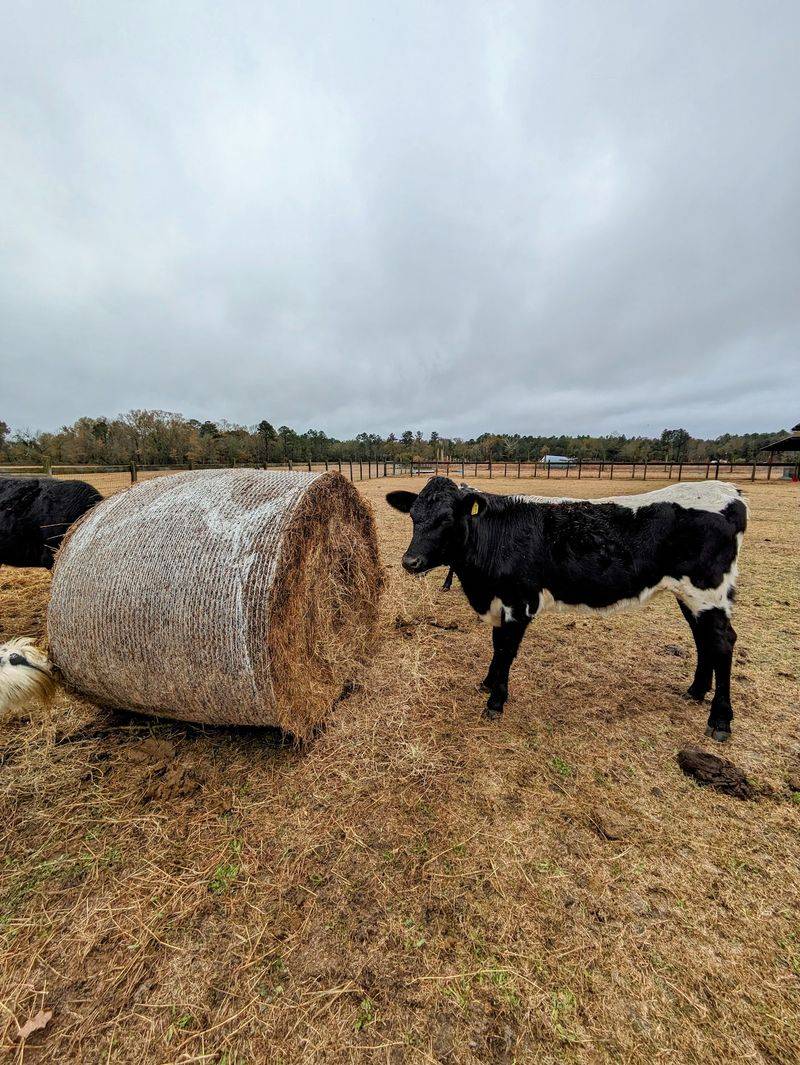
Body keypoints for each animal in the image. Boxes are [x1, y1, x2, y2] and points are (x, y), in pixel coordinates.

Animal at [387, 478, 748, 742]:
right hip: (691, 597)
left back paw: (720, 720)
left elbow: (505, 650)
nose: (410, 561)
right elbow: (496, 645)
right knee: (703, 640)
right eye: (413, 516)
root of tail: (729, 492)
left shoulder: (519, 602)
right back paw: (696, 691)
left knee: (722, 642)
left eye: (447, 518)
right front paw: (488, 683)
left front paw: (495, 702)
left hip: (707, 592)